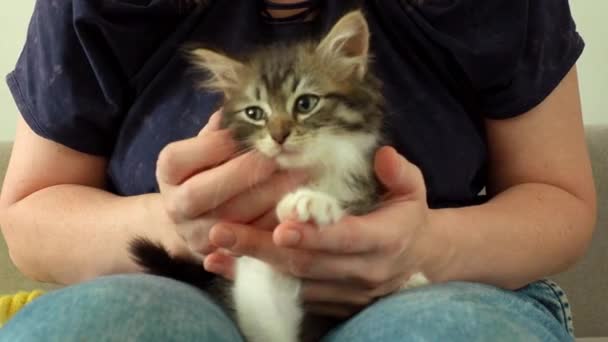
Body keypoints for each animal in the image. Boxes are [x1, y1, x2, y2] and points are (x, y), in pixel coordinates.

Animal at [131, 10, 430, 342]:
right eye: (255, 113)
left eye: (305, 103)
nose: (278, 135)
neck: (314, 168)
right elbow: (264, 302)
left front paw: (311, 203)